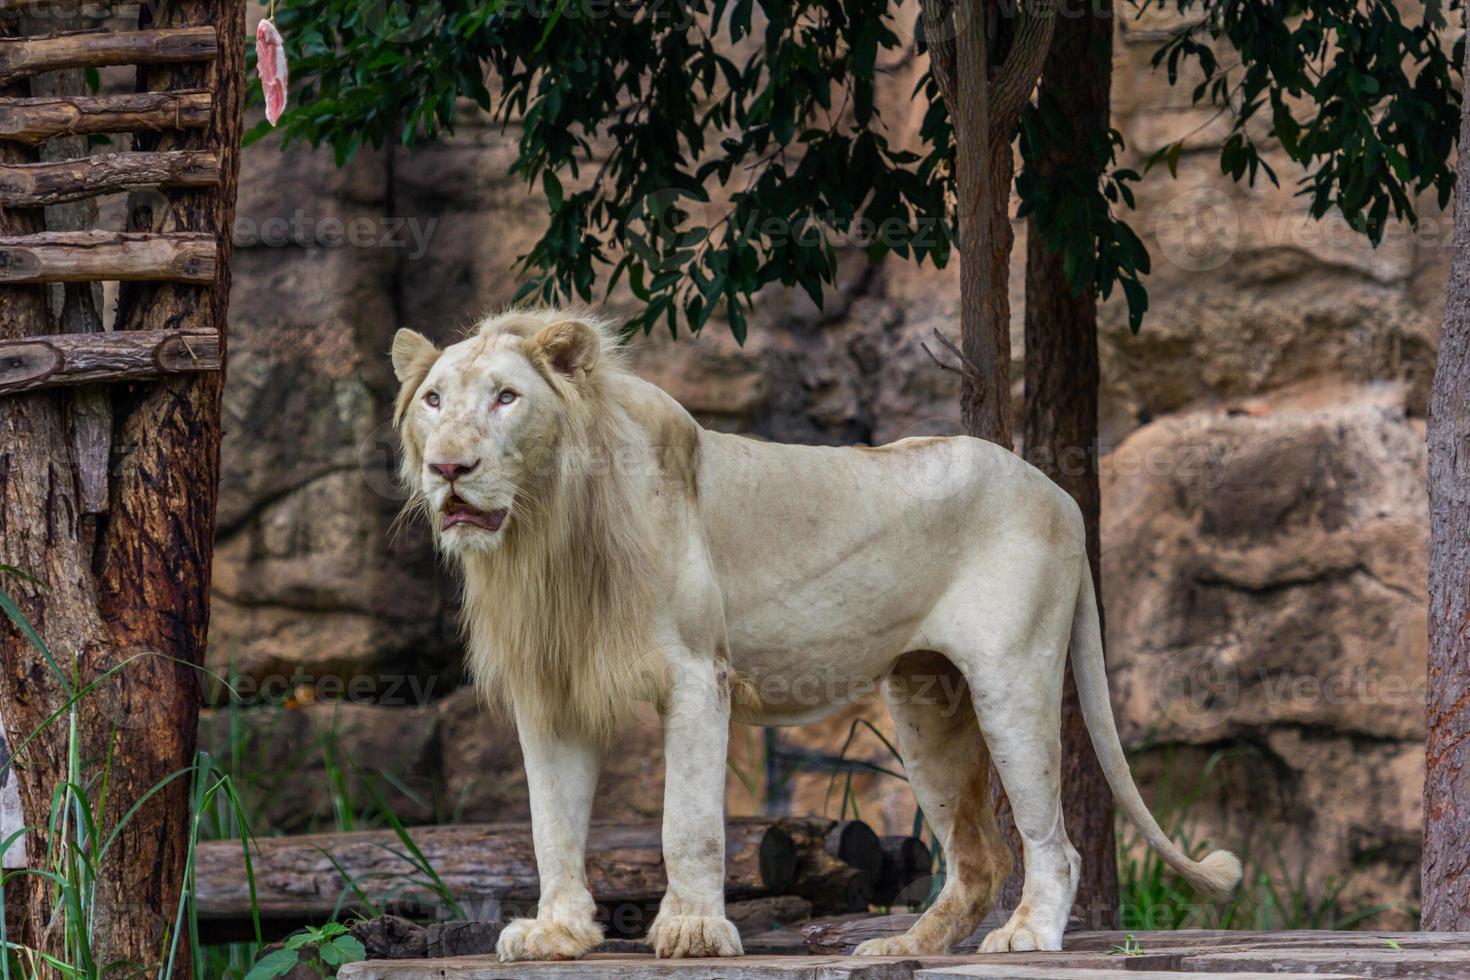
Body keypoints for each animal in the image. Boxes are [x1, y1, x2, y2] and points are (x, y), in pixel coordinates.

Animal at [393, 310, 1240, 963]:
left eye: (507, 398)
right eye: (433, 400)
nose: (449, 468)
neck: (547, 536)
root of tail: (1059, 491)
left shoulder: (696, 673)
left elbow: (687, 822)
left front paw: (694, 931)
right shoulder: (554, 690)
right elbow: (552, 825)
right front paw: (558, 933)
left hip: (1011, 678)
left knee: (1051, 842)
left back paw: (1028, 936)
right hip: (928, 704)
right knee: (978, 858)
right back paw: (903, 946)